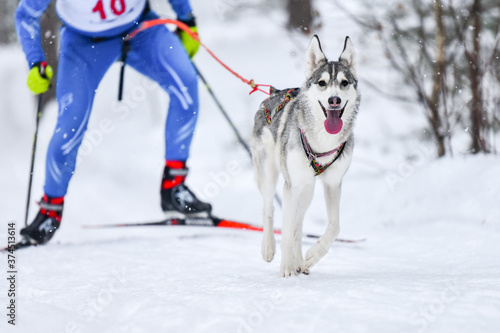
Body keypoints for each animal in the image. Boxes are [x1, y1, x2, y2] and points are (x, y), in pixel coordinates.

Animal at [252, 35, 358, 276]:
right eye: (322, 83)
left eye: (344, 83)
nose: (334, 100)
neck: (323, 141)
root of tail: (272, 94)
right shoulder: (291, 186)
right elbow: (286, 229)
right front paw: (286, 267)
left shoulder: (333, 183)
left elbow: (334, 226)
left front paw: (312, 256)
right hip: (270, 174)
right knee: (269, 208)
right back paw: (269, 248)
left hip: (307, 188)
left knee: (298, 226)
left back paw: (300, 261)